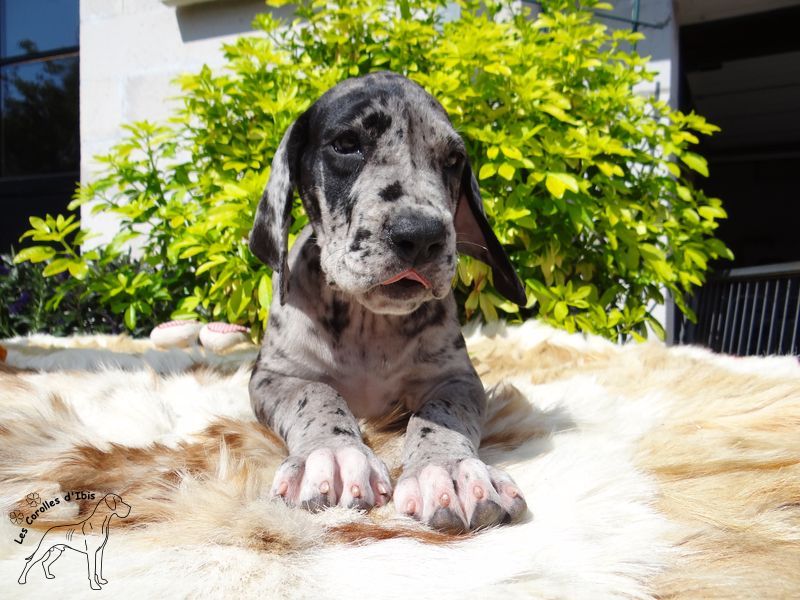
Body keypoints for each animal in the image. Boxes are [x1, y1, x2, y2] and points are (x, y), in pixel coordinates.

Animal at [248, 71, 528, 532]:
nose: (421, 235)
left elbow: (439, 413)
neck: (369, 323)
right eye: (347, 144)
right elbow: (316, 393)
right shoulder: (273, 376)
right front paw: (333, 454)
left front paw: (448, 470)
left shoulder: (457, 379)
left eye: (453, 160)